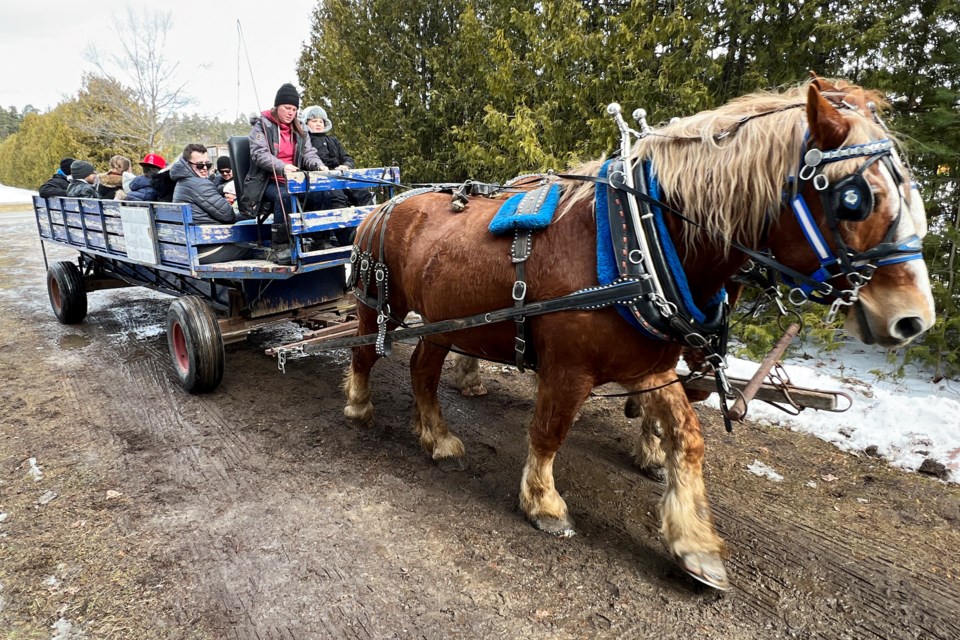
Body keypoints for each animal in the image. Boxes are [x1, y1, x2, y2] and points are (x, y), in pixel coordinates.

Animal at [342, 80, 932, 592]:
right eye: (855, 198)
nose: (914, 319)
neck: (642, 239)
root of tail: (381, 205)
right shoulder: (569, 370)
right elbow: (548, 433)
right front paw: (543, 503)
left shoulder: (650, 364)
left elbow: (687, 438)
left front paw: (694, 542)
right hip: (378, 306)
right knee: (362, 353)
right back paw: (360, 405)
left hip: (444, 320)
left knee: (422, 367)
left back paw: (436, 435)